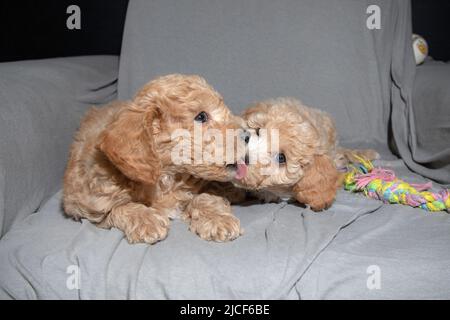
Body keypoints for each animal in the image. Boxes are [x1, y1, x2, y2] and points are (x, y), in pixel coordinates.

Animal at [62, 74, 250, 244]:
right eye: (201, 117)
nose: (248, 135)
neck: (168, 177)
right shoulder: (84, 202)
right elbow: (116, 207)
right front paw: (145, 219)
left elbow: (207, 195)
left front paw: (217, 219)